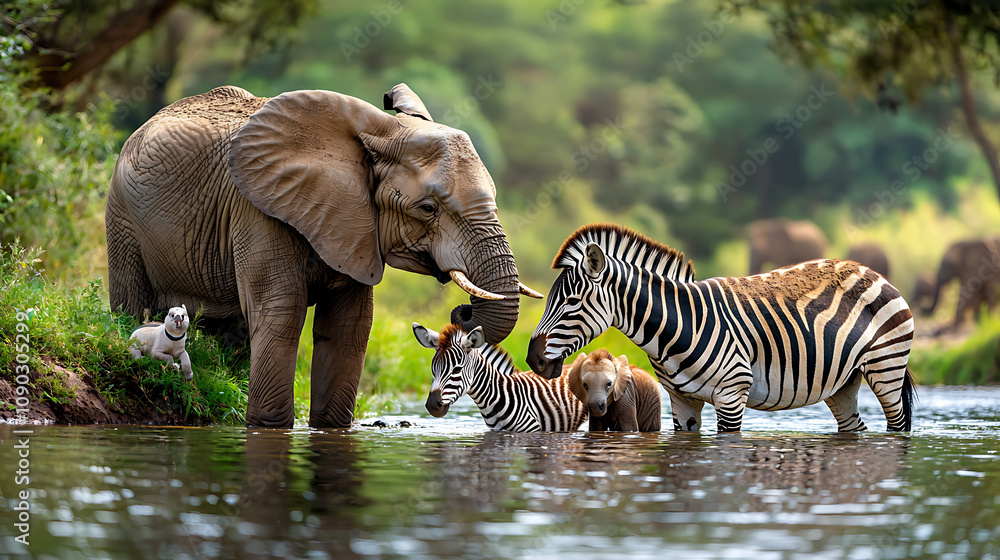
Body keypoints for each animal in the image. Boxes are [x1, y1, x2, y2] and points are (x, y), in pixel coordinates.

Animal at [106, 84, 540, 428]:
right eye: (428, 208)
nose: (461, 312)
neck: (375, 133)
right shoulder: (258, 210)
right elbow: (281, 314)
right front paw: (268, 427)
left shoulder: (355, 228)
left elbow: (349, 327)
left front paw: (329, 427)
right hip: (122, 217)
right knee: (132, 303)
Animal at [526, 223, 916, 433]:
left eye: (571, 301)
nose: (532, 359)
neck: (675, 330)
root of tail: (868, 270)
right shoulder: (682, 401)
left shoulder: (732, 395)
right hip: (842, 382)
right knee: (854, 428)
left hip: (886, 368)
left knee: (897, 425)